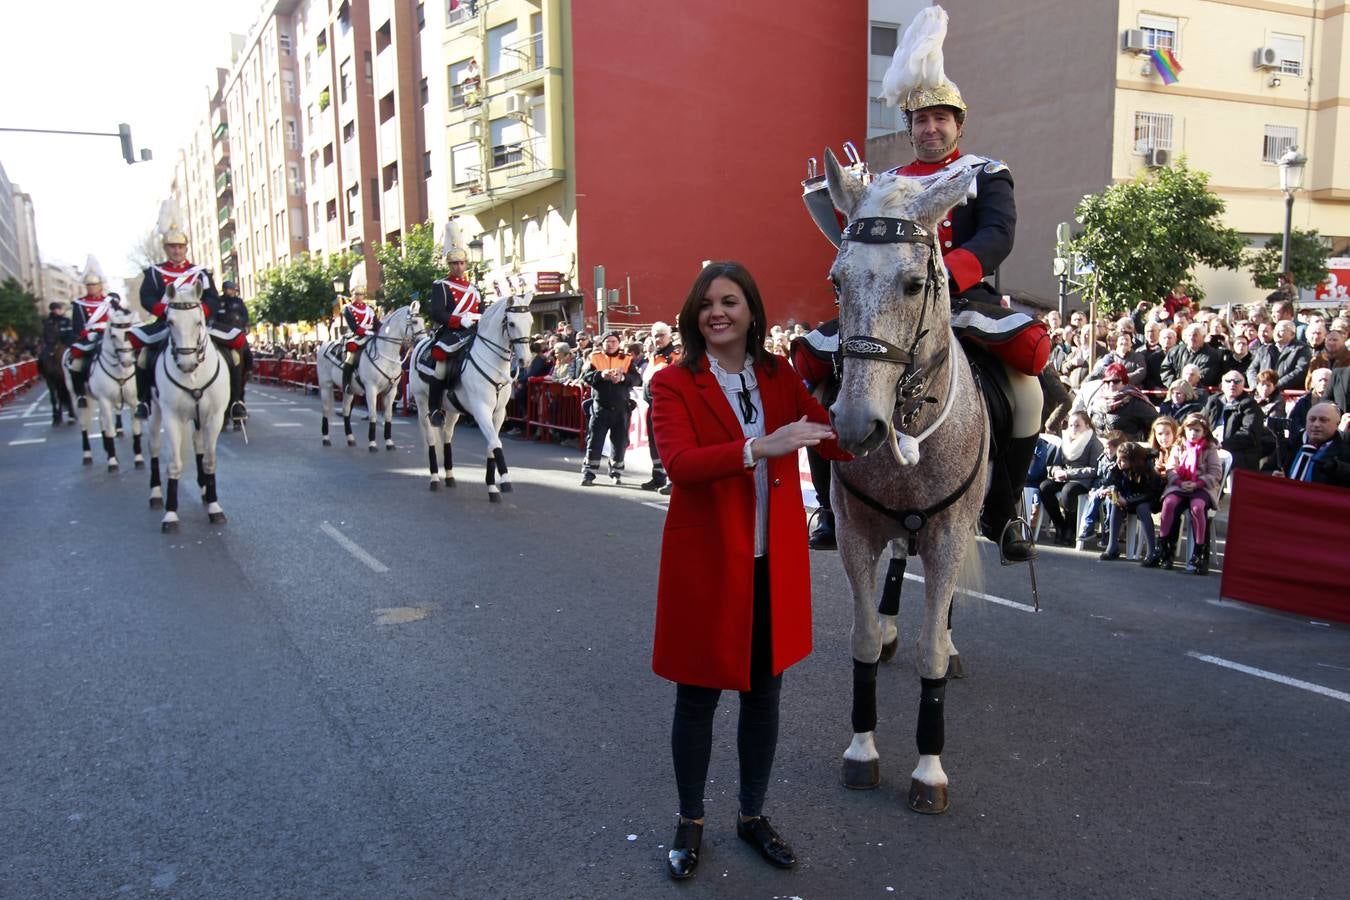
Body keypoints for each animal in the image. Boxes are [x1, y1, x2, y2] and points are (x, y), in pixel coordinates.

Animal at [63, 304, 144, 472]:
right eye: (113, 336)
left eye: (131, 333)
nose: (127, 362)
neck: (120, 371)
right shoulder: (105, 400)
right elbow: (110, 429)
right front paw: (112, 461)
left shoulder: (134, 401)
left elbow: (136, 429)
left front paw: (138, 458)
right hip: (80, 398)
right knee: (84, 425)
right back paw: (88, 455)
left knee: (101, 422)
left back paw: (107, 449)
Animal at [146, 284, 230, 531]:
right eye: (169, 322)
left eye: (198, 322)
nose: (186, 363)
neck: (194, 376)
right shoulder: (172, 417)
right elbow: (174, 464)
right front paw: (170, 514)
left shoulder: (214, 417)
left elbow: (210, 460)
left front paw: (214, 505)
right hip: (154, 412)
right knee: (154, 447)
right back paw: (156, 494)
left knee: (198, 444)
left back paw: (204, 489)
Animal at [314, 304, 423, 450]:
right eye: (415, 322)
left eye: (423, 320)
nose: (424, 340)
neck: (386, 355)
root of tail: (324, 345)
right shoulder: (371, 389)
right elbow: (373, 415)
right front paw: (372, 443)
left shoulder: (391, 391)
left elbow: (388, 415)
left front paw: (389, 442)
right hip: (326, 385)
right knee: (326, 410)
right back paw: (326, 438)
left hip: (349, 390)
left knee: (346, 411)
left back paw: (350, 438)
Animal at [410, 299, 531, 504]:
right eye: (512, 323)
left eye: (530, 321)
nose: (525, 360)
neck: (495, 367)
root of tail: (420, 344)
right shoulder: (481, 411)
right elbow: (496, 443)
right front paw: (505, 479)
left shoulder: (499, 414)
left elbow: (491, 445)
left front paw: (492, 487)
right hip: (421, 402)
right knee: (431, 438)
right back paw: (434, 478)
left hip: (452, 410)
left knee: (447, 436)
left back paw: (450, 476)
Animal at [820, 151, 993, 814]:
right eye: (837, 281)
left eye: (915, 283)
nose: (855, 424)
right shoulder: (854, 534)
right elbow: (865, 637)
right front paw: (861, 750)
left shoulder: (948, 536)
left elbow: (932, 653)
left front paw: (928, 768)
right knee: (899, 559)